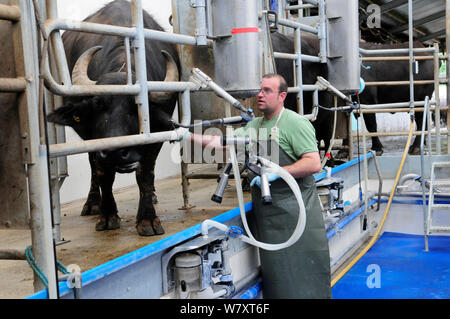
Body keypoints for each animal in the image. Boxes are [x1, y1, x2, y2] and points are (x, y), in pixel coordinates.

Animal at [46, 0, 179, 235]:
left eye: (136, 108)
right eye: (98, 105)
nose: (117, 152)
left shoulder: (156, 138)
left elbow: (145, 174)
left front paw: (147, 219)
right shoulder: (95, 140)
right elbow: (103, 173)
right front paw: (107, 215)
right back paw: (92, 203)